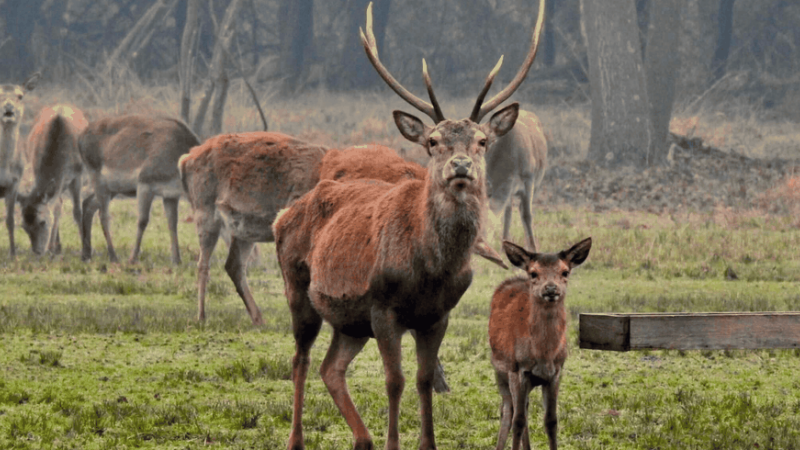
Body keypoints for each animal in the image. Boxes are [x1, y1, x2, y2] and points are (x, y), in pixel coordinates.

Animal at [17, 103, 88, 255]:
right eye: (23, 226)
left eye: (42, 222)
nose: (38, 251)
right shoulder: (36, 169)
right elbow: (56, 206)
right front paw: (54, 248)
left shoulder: (77, 175)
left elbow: (77, 211)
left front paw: (86, 249)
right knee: (58, 201)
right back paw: (57, 246)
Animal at [79, 114, 200, 266]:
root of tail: (80, 137)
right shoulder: (144, 182)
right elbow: (142, 220)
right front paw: (132, 258)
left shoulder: (171, 194)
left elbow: (172, 223)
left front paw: (177, 260)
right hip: (96, 176)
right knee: (103, 215)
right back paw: (113, 256)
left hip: (113, 187)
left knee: (88, 204)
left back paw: (86, 254)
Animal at [274, 1, 544, 448]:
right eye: (433, 141)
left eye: (482, 140)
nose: (461, 165)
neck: (430, 269)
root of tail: (284, 214)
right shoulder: (384, 308)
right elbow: (395, 381)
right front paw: (393, 442)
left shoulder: (437, 315)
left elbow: (422, 381)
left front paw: (426, 442)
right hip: (298, 287)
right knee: (300, 359)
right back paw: (298, 439)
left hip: (349, 320)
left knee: (331, 368)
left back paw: (362, 439)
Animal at [488, 237, 592, 450]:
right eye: (534, 273)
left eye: (565, 272)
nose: (551, 288)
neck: (543, 354)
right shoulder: (517, 370)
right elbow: (518, 421)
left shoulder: (556, 372)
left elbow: (551, 421)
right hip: (500, 370)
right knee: (508, 411)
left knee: (524, 409)